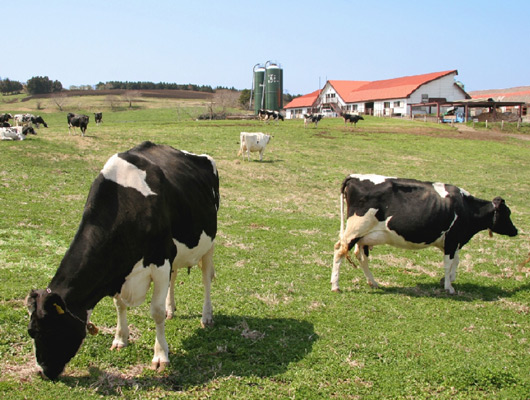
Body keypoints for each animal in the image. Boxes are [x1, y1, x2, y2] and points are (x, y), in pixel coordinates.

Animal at [25, 142, 220, 380]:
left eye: (46, 330)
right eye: (30, 331)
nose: (42, 372)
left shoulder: (160, 260)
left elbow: (155, 312)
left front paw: (160, 356)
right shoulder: (119, 270)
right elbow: (119, 304)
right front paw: (120, 339)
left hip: (209, 243)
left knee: (206, 279)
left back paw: (206, 316)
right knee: (174, 278)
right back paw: (171, 309)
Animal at [330, 174, 516, 294]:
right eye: (507, 213)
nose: (516, 230)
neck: (465, 207)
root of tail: (354, 177)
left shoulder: (452, 242)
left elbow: (456, 261)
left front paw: (449, 279)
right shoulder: (452, 239)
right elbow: (448, 263)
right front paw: (449, 287)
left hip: (365, 237)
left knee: (362, 258)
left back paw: (373, 282)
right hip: (355, 230)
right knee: (340, 251)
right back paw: (335, 285)